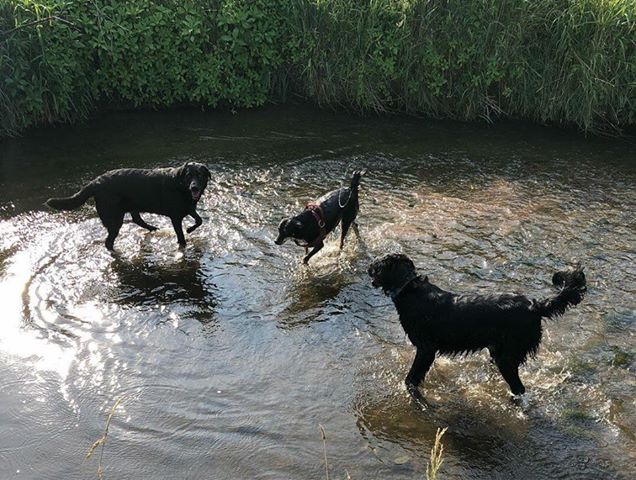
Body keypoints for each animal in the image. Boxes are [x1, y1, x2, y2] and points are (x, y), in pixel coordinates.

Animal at [46, 162, 214, 249]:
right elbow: (181, 235)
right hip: (114, 217)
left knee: (136, 220)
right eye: (188, 176)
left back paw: (152, 228)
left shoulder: (189, 208)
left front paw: (190, 229)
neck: (180, 186)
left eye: (200, 175)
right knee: (109, 241)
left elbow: (199, 220)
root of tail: (96, 182)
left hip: (133, 206)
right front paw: (184, 239)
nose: (194, 187)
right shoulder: (175, 216)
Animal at [368, 255, 588, 402]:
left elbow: (411, 379)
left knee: (519, 388)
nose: (369, 267)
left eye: (377, 265)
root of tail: (534, 305)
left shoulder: (425, 349)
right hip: (498, 352)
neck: (409, 290)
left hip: (507, 358)